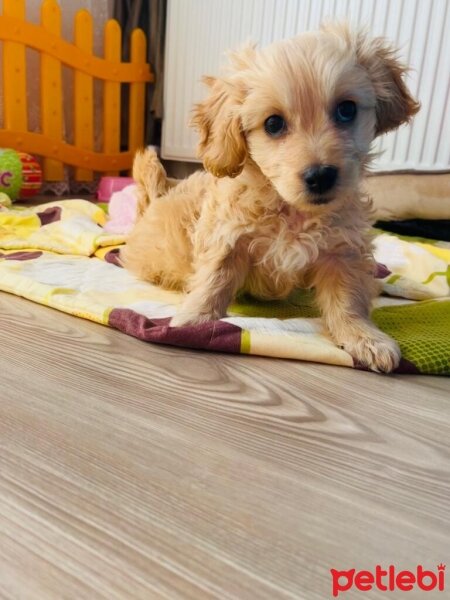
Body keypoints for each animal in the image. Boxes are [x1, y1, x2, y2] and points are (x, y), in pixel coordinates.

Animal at [121, 24, 420, 370]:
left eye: (347, 110)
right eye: (273, 124)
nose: (321, 175)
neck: (290, 209)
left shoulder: (342, 250)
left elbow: (349, 299)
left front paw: (364, 337)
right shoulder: (226, 236)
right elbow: (213, 280)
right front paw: (192, 320)